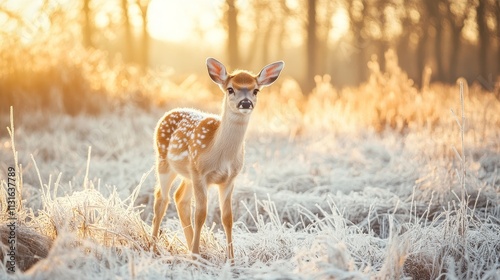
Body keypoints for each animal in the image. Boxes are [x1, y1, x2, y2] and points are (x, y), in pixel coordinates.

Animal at [151, 57, 286, 260]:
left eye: (255, 90)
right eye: (230, 89)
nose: (245, 103)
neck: (220, 155)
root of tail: (168, 113)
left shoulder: (229, 179)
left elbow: (227, 218)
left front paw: (230, 259)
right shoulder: (201, 173)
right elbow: (200, 215)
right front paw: (195, 256)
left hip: (188, 173)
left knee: (180, 198)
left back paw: (189, 246)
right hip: (164, 162)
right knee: (161, 198)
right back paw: (153, 246)